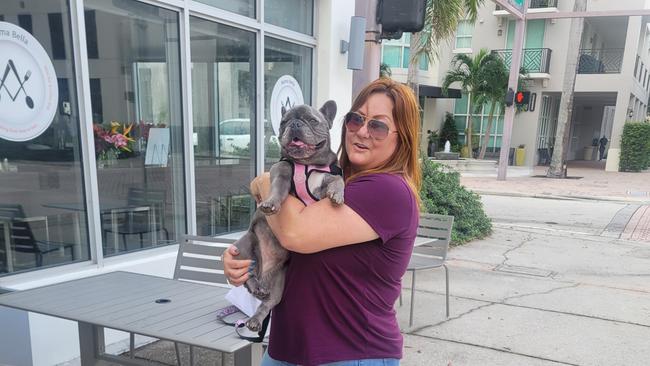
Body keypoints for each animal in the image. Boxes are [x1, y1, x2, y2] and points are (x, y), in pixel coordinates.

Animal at [232, 99, 344, 332]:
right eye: (284, 121)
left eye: (312, 120)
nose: (295, 124)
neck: (307, 163)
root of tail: (264, 271)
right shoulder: (281, 172)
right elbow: (277, 189)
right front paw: (270, 203)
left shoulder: (325, 181)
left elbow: (338, 180)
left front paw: (338, 194)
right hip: (242, 247)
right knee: (247, 276)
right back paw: (254, 291)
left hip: (278, 285)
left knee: (267, 302)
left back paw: (256, 317)